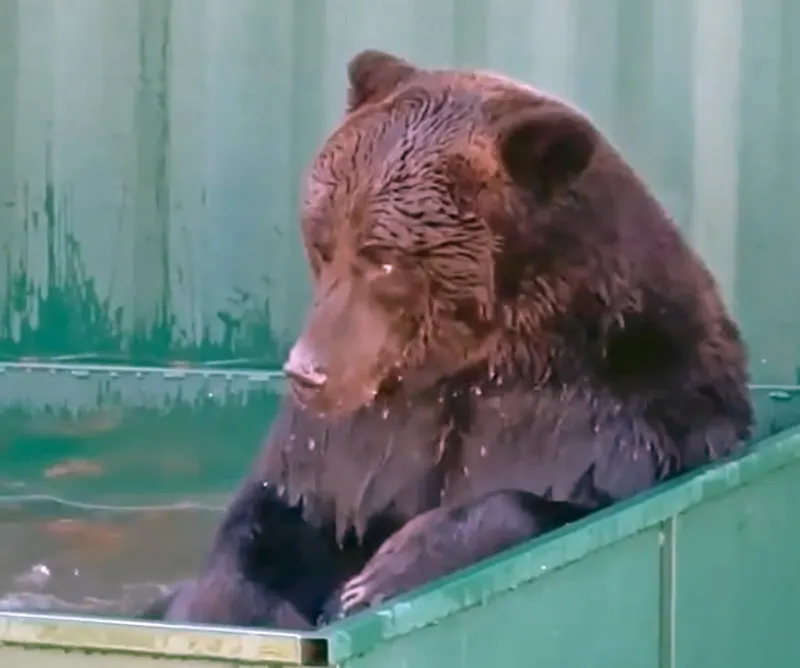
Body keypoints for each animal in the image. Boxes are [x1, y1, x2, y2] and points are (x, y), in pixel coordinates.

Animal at [144, 49, 754, 629]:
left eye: (385, 259)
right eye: (322, 241)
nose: (307, 371)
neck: (484, 357)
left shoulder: (629, 417)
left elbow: (555, 501)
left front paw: (376, 580)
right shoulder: (353, 440)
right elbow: (274, 518)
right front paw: (234, 604)